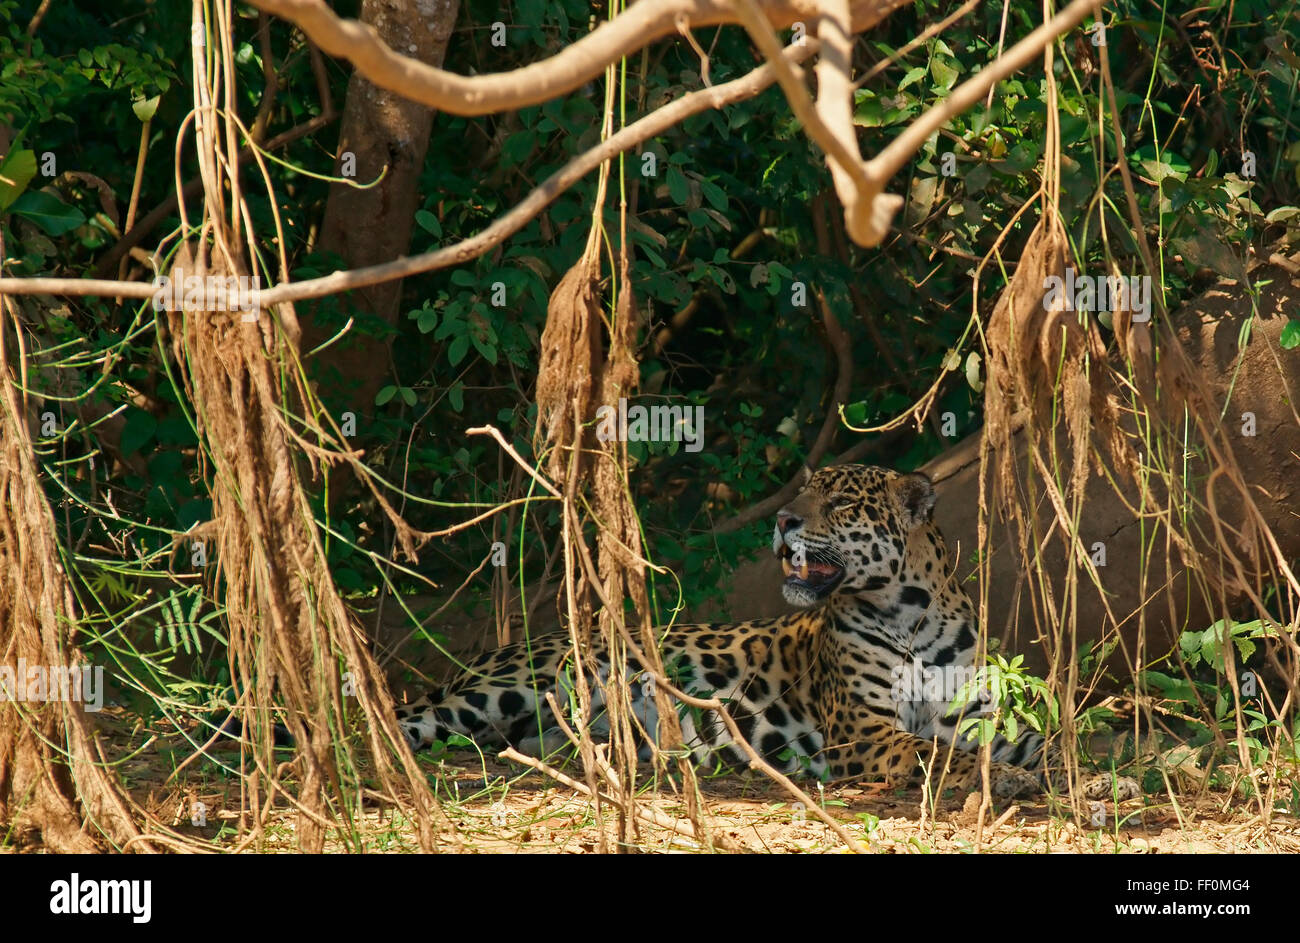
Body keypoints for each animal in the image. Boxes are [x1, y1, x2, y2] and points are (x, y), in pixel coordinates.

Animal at [396, 464, 1139, 801]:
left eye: (840, 501)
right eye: (807, 492)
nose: (782, 520)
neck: (910, 613)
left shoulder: (976, 715)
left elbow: (1050, 742)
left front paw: (1112, 774)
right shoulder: (864, 734)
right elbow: (936, 753)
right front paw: (1007, 780)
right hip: (517, 684)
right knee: (413, 718)